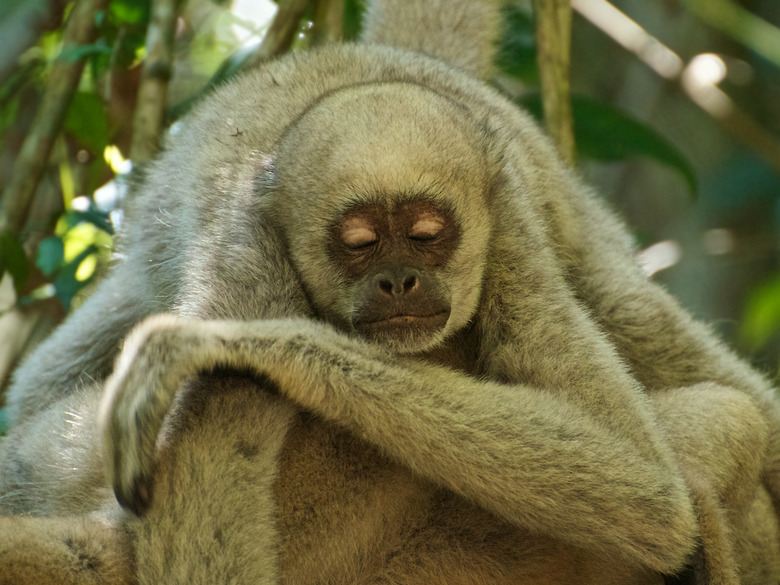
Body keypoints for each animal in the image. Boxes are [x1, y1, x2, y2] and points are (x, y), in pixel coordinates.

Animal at [1, 0, 780, 580]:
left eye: (429, 234)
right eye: (360, 243)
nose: (400, 278)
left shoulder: (511, 232)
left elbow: (646, 493)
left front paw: (219, 344)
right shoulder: (239, 254)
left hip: (568, 222)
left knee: (704, 380)